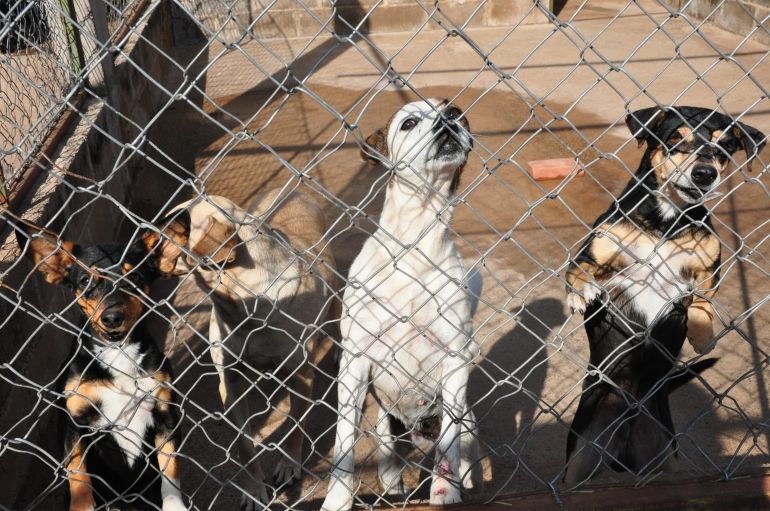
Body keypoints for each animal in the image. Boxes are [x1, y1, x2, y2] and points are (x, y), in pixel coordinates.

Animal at [15, 212, 190, 511]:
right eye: (85, 281)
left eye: (135, 276)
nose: (112, 318)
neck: (117, 351)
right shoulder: (76, 424)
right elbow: (78, 476)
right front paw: (83, 507)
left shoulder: (165, 415)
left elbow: (171, 469)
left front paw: (174, 505)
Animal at [156, 190, 336, 510]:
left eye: (176, 224)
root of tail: (293, 192)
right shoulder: (230, 383)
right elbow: (244, 445)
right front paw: (253, 490)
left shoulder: (301, 376)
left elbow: (295, 425)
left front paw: (289, 465)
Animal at [322, 98, 480, 510]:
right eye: (408, 123)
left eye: (454, 111)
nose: (448, 119)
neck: (415, 246)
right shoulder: (355, 359)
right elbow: (343, 442)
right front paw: (337, 500)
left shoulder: (455, 357)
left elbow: (449, 445)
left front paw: (444, 490)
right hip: (383, 423)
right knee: (388, 454)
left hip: (466, 415)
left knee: (463, 442)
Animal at [560, 107, 764, 484]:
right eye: (674, 138)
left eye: (725, 146)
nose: (705, 174)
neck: (666, 223)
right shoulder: (593, 257)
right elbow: (576, 272)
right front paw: (580, 292)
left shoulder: (709, 266)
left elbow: (703, 301)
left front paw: (702, 335)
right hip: (579, 458)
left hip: (668, 460)